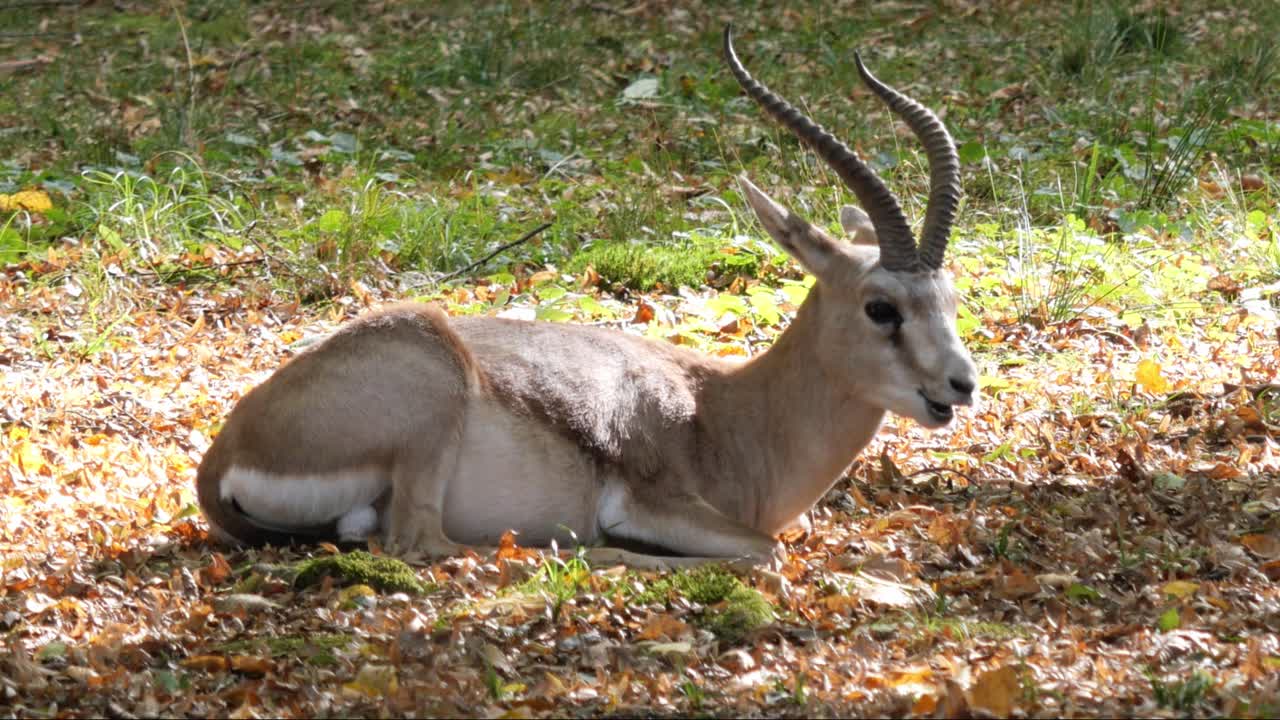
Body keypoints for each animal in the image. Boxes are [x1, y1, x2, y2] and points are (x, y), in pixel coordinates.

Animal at [196, 26, 977, 569]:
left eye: (949, 297)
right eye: (881, 307)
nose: (961, 385)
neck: (732, 416)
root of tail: (227, 450)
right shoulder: (655, 503)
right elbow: (765, 549)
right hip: (430, 409)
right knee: (430, 545)